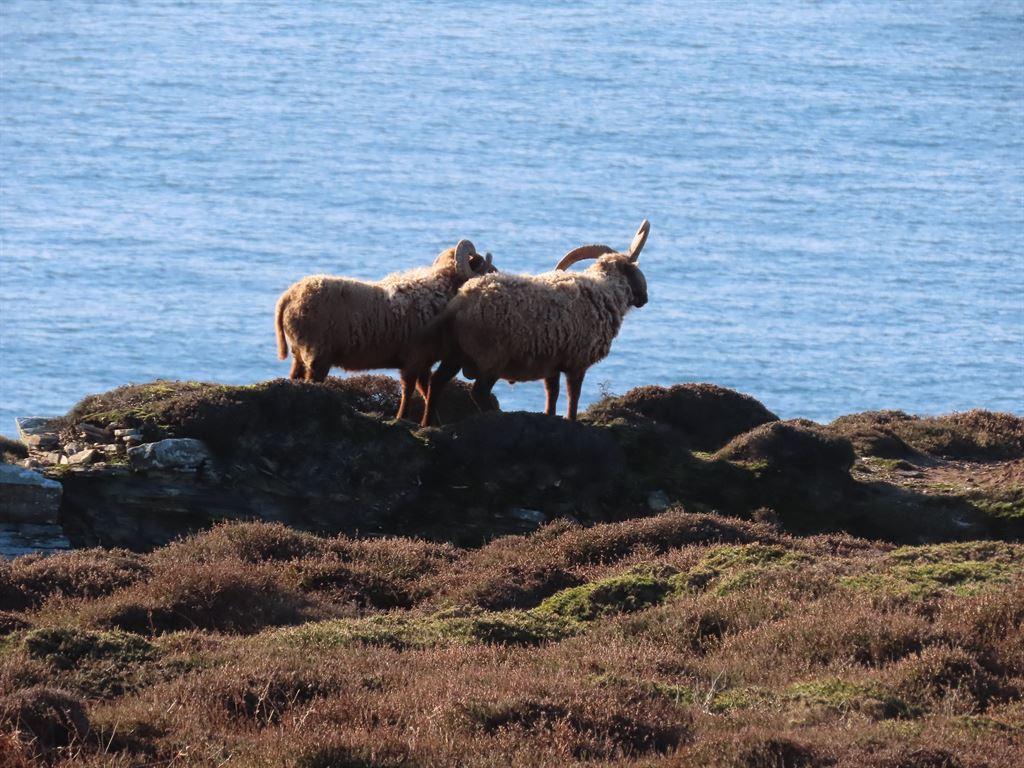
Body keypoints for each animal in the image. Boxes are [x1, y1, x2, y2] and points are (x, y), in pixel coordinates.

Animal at [274, 240, 495, 420]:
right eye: (485, 266)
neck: (437, 292)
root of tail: (288, 296)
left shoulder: (424, 361)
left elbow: (425, 391)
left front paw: (431, 422)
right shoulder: (413, 358)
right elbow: (409, 389)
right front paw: (402, 418)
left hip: (299, 352)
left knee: (295, 378)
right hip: (317, 355)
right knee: (311, 382)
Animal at [417, 220, 650, 427]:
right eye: (636, 270)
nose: (645, 299)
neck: (606, 290)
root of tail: (460, 302)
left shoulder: (553, 361)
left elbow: (552, 393)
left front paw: (550, 416)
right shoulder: (577, 361)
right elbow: (573, 395)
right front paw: (571, 420)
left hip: (455, 352)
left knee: (436, 382)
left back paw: (428, 423)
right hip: (491, 357)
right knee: (479, 392)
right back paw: (495, 418)